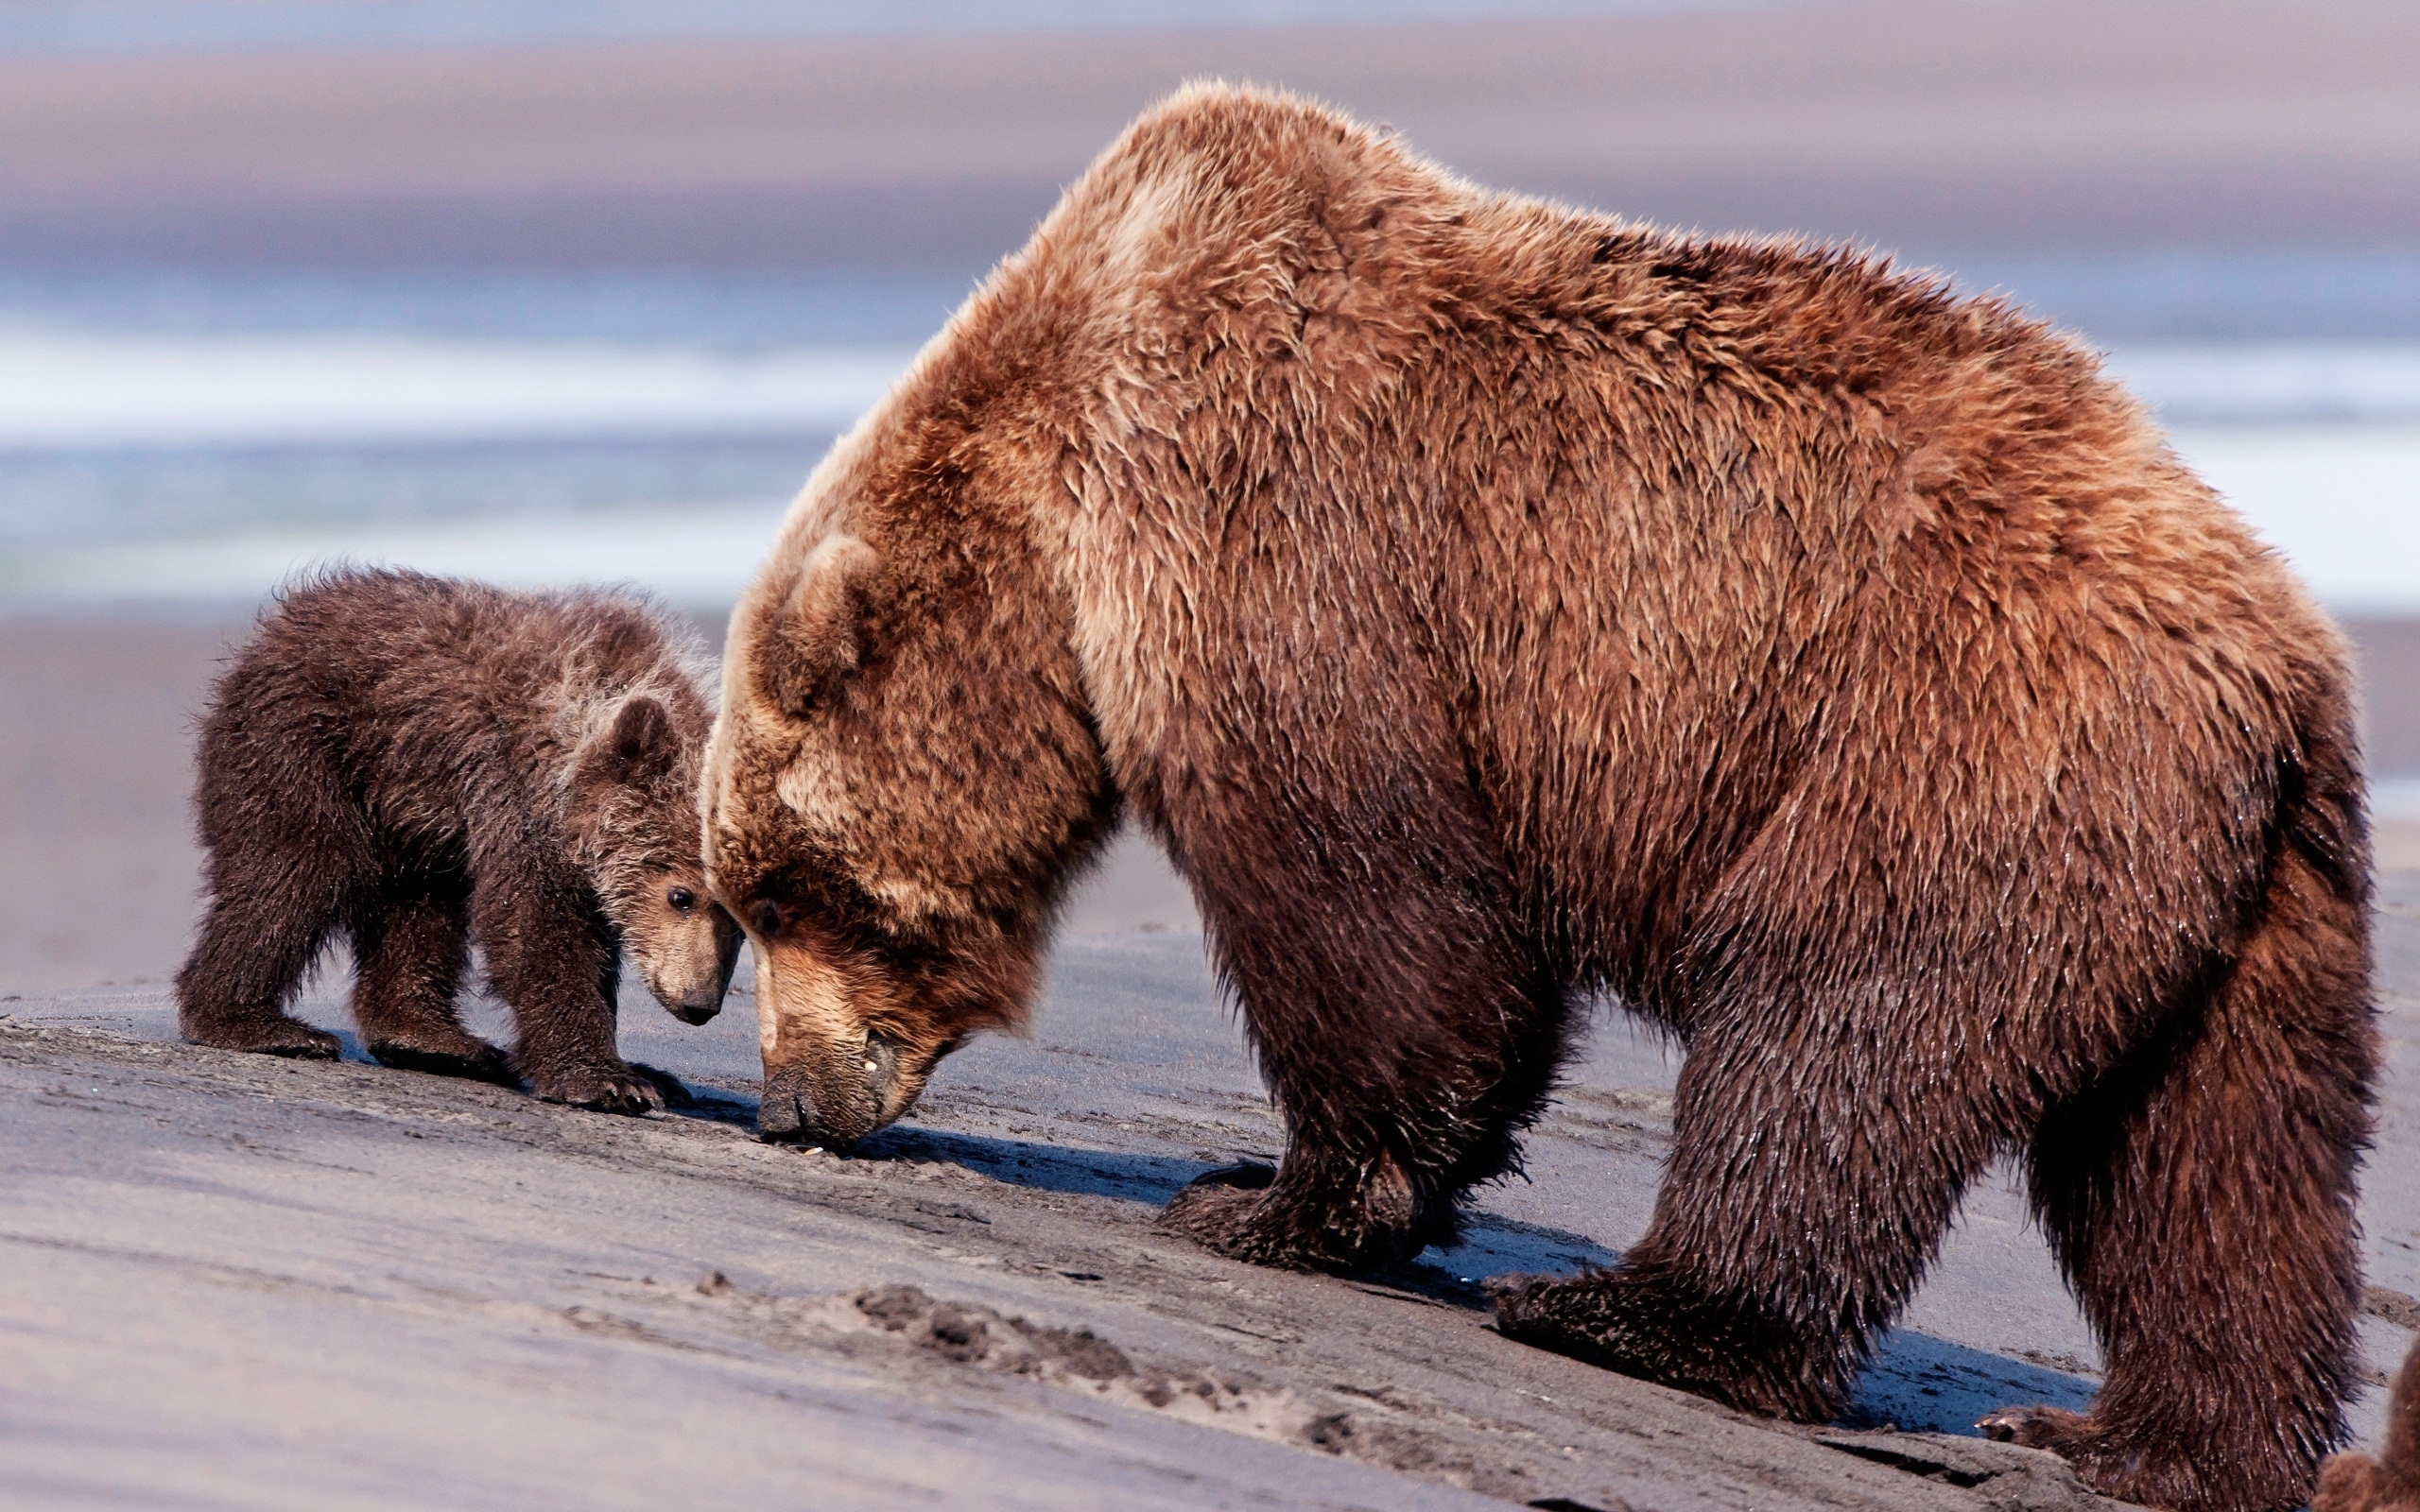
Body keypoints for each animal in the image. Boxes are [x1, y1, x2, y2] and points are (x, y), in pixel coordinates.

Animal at [701, 85, 2381, 1509]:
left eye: (781, 892)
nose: (790, 1103)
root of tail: (2281, 652)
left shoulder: (1271, 524)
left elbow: (1370, 896)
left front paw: (1266, 1197)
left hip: (1949, 735)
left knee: (1834, 1020)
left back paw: (1630, 1309)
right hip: (2240, 891)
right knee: (2213, 1166)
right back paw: (2137, 1438)